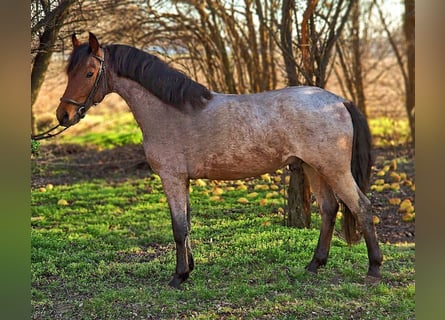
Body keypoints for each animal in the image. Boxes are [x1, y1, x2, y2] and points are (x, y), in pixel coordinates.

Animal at [56, 32, 382, 288]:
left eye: (88, 73)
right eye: (69, 73)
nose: (63, 115)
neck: (169, 111)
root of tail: (338, 100)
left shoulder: (172, 178)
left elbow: (178, 228)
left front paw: (178, 276)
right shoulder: (183, 180)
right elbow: (186, 224)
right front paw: (189, 269)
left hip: (334, 169)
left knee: (362, 208)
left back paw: (374, 269)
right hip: (314, 168)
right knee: (329, 209)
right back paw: (315, 264)